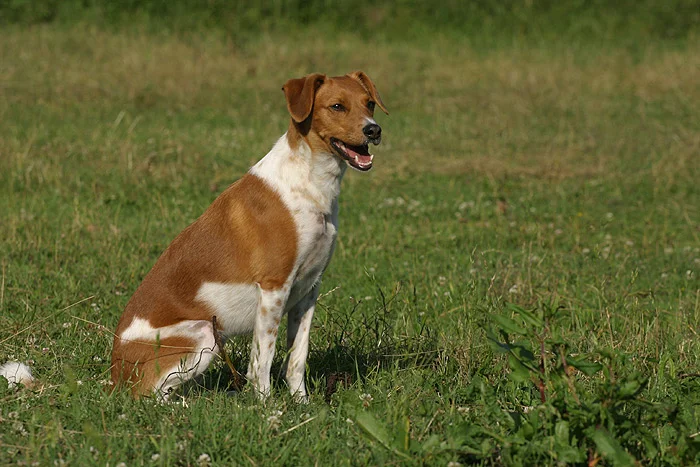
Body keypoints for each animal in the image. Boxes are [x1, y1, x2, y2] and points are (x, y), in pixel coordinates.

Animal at [109, 71, 388, 400]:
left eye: (369, 103)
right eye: (337, 106)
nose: (373, 130)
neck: (309, 182)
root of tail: (114, 374)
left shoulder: (309, 288)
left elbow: (297, 357)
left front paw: (302, 403)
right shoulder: (273, 287)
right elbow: (262, 361)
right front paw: (267, 406)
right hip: (203, 333)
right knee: (152, 396)